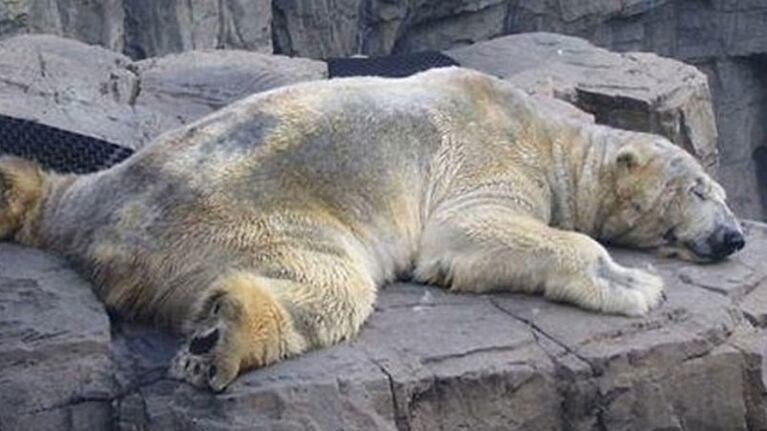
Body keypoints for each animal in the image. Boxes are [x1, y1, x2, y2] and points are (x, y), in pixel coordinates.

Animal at [0, 67, 744, 391]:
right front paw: (633, 283)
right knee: (330, 283)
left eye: (723, 193)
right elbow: (471, 232)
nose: (735, 237)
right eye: (699, 189)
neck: (553, 137)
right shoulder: (488, 155)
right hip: (244, 218)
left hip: (108, 195)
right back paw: (224, 335)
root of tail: (98, 223)